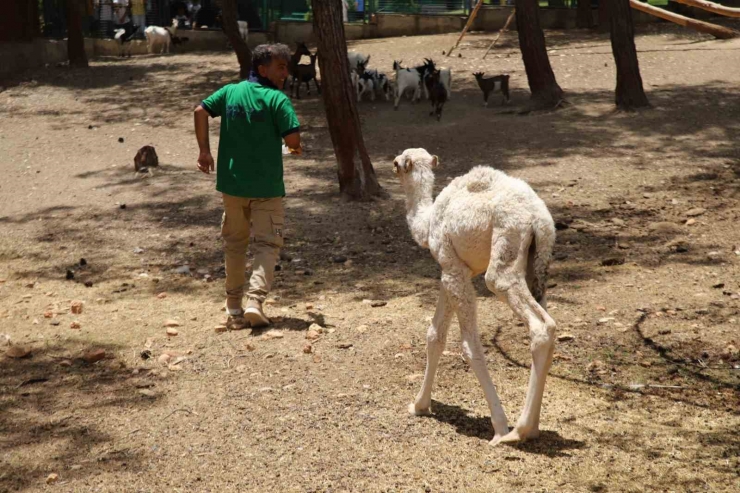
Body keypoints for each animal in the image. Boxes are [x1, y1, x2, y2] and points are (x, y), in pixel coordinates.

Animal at [394, 148, 556, 444]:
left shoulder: (452, 267)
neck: (428, 222)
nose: (393, 166)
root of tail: (540, 221)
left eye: (397, 161)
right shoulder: (451, 269)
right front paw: (419, 405)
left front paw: (499, 426)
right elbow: (435, 335)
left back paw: (517, 431)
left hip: (505, 250)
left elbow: (468, 345)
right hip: (537, 265)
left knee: (539, 324)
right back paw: (533, 427)